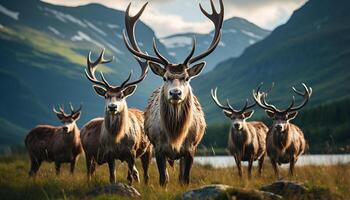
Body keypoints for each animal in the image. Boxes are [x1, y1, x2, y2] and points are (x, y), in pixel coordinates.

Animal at [82, 49, 153, 184]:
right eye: (106, 95)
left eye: (121, 95)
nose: (112, 107)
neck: (117, 139)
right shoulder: (110, 154)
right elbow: (112, 177)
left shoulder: (131, 152)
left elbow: (129, 177)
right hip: (88, 154)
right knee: (89, 172)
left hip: (149, 148)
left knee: (146, 174)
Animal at [123, 0, 224, 186]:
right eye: (165, 77)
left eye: (186, 77)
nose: (175, 93)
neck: (175, 136)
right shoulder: (158, 149)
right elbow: (163, 179)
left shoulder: (191, 149)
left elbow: (185, 179)